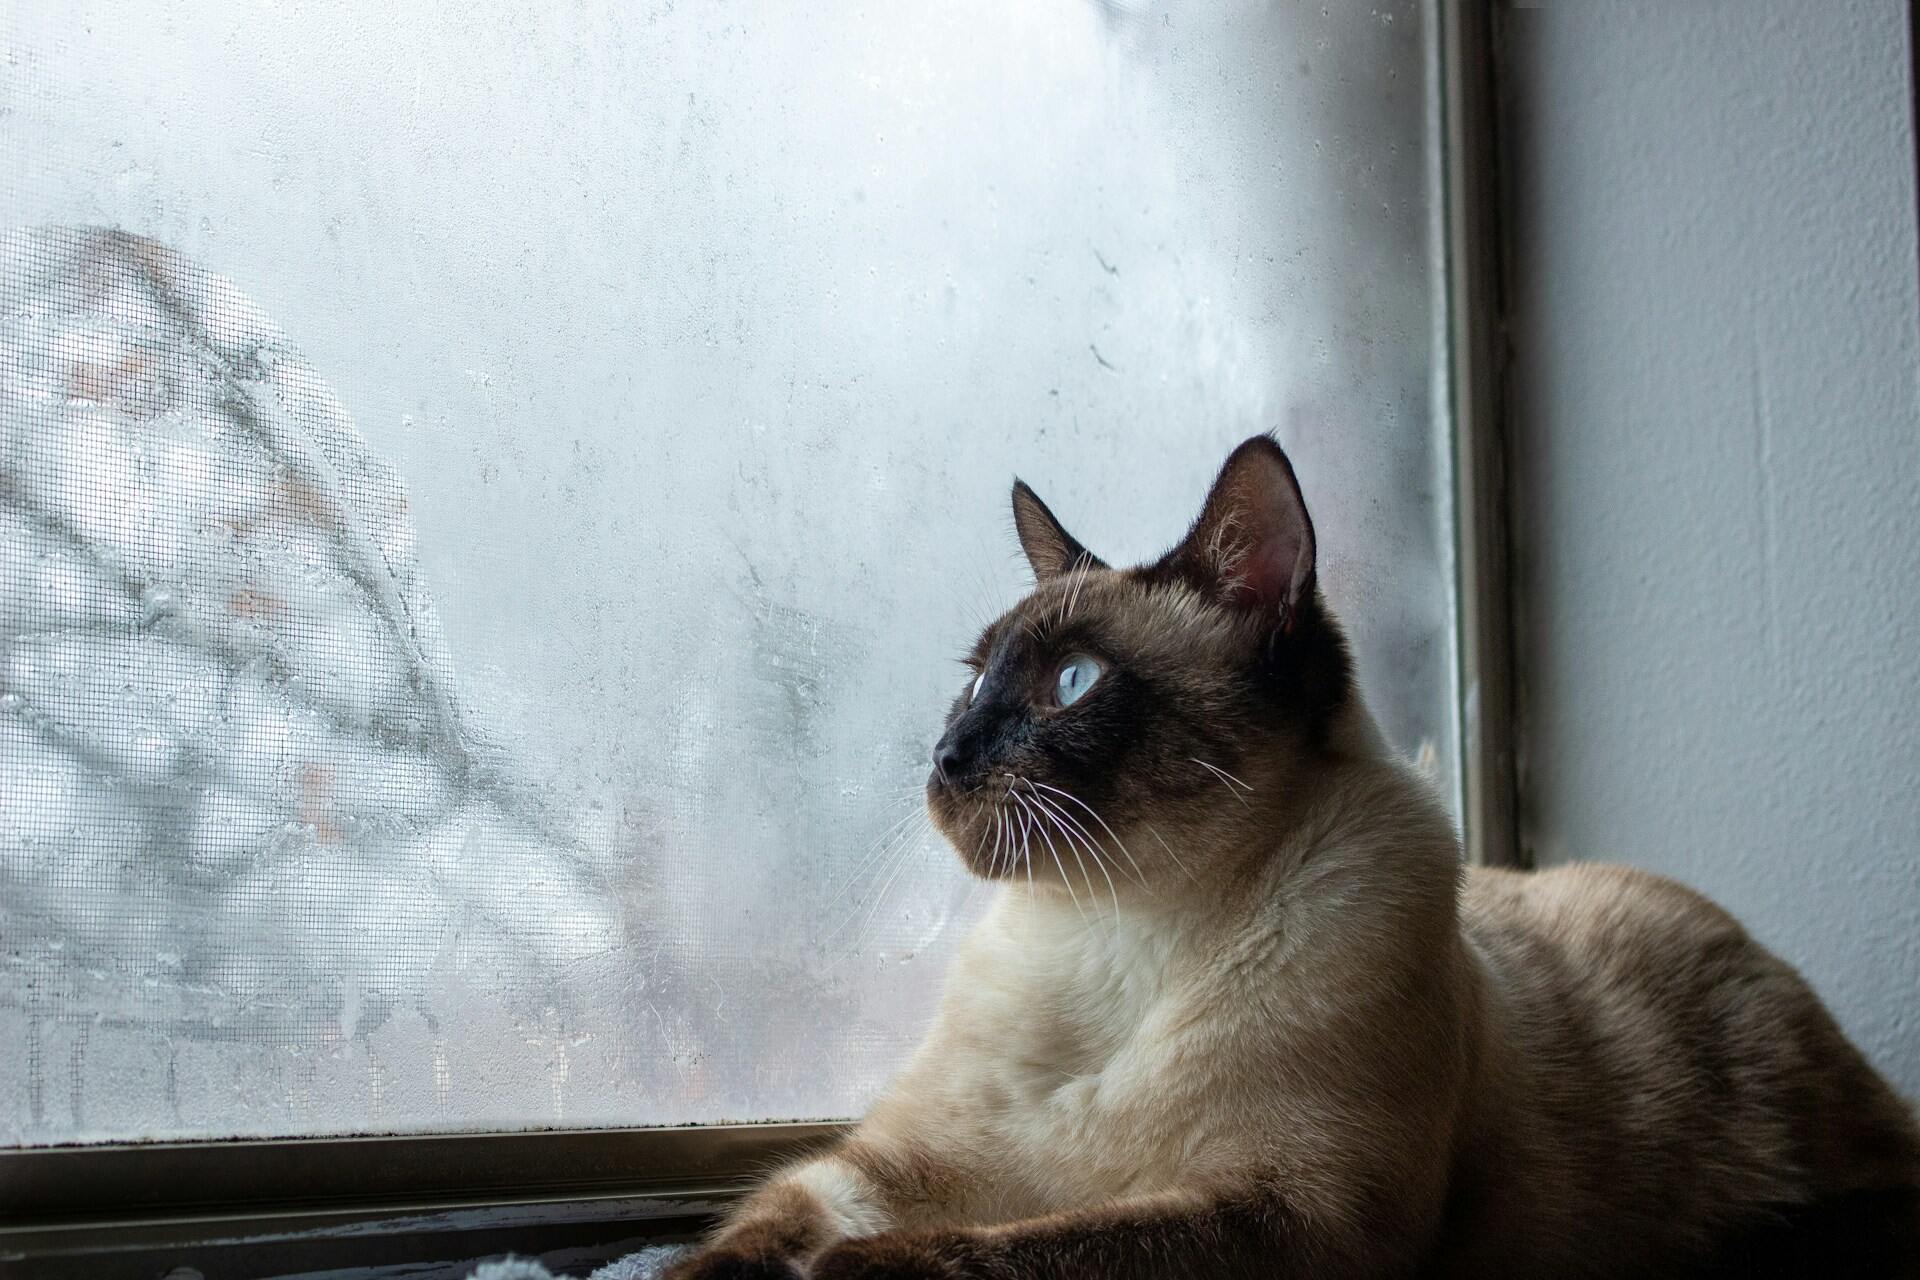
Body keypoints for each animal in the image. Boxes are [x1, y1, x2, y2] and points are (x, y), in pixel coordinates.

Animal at [664, 435, 1920, 1274]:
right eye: (973, 681)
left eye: (1072, 680)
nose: (945, 751)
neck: (1117, 929)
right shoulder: (897, 1164)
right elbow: (749, 1231)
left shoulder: (1297, 1211)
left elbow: (1032, 1247)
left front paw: (852, 1270)